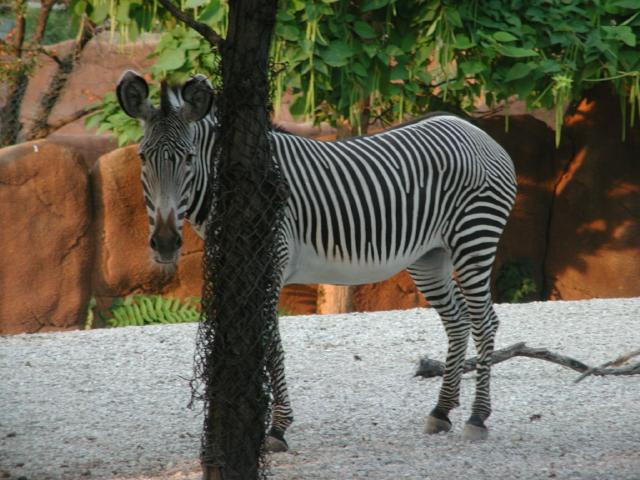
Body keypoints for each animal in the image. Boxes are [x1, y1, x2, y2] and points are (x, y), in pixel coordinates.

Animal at [116, 70, 517, 451]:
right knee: (458, 322)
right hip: (428, 257)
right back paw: (442, 411)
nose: (165, 242)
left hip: (474, 238)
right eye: (142, 157)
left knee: (485, 322)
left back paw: (477, 418)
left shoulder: (271, 264)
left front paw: (276, 428)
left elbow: (271, 345)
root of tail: (476, 132)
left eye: (188, 158)